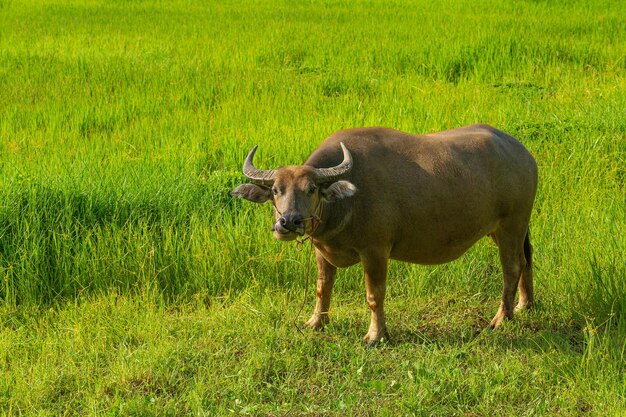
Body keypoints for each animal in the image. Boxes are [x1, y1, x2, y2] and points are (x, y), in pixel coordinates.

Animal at [230, 124, 536, 344]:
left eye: (311, 189)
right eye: (276, 190)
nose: (288, 223)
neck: (346, 202)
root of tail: (522, 153)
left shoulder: (375, 251)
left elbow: (374, 294)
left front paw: (375, 336)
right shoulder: (322, 251)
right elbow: (322, 288)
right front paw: (316, 322)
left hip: (512, 223)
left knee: (511, 266)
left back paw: (501, 318)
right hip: (502, 229)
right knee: (525, 260)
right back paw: (525, 305)